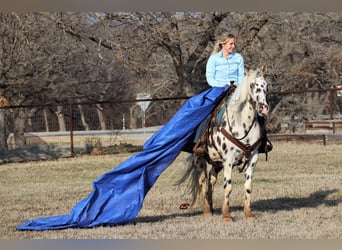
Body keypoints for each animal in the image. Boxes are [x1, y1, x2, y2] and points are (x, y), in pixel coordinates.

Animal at [179, 67, 270, 223]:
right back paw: (207, 210)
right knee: (203, 180)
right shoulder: (228, 160)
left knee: (211, 180)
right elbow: (228, 187)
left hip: (217, 163)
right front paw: (226, 215)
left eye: (266, 85)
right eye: (252, 85)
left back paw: (211, 206)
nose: (263, 108)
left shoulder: (253, 158)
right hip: (199, 159)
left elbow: (248, 185)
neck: (241, 123)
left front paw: (248, 213)